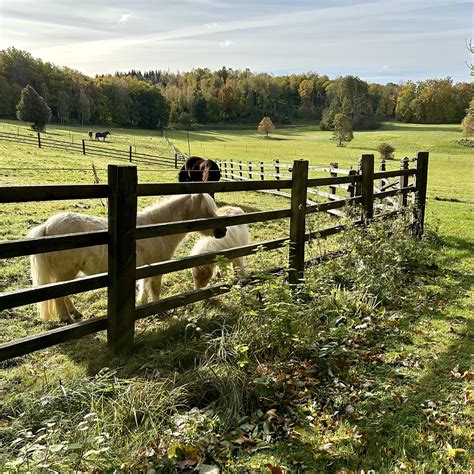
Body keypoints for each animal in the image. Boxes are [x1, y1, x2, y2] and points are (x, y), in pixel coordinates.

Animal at [27, 193, 228, 322]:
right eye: (207, 212)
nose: (223, 231)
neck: (155, 229)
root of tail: (46, 226)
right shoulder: (157, 266)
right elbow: (155, 288)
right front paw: (159, 311)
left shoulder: (145, 267)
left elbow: (144, 286)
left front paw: (143, 305)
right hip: (66, 272)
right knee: (59, 294)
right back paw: (66, 317)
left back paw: (74, 313)